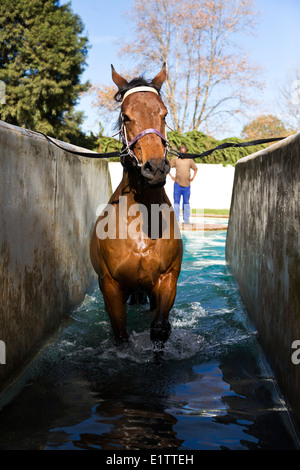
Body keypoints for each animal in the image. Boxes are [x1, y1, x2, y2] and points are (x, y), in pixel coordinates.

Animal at [89, 65, 183, 346]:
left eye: (164, 113)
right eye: (126, 116)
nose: (156, 168)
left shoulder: (166, 280)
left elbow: (159, 330)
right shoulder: (111, 286)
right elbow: (120, 335)